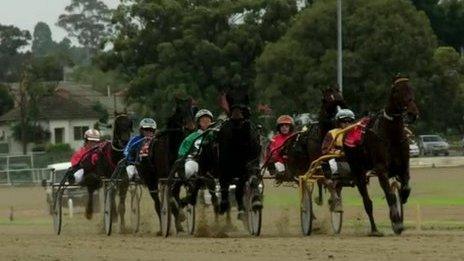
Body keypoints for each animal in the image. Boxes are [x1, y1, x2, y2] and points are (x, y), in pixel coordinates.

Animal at [137, 96, 197, 234]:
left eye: (192, 109)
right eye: (179, 110)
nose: (190, 127)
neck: (173, 149)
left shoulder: (180, 176)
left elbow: (179, 193)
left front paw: (181, 215)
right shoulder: (166, 177)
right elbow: (170, 199)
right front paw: (180, 216)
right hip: (151, 180)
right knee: (157, 203)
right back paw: (163, 228)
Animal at [342, 76, 418, 235]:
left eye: (411, 89)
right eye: (396, 91)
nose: (412, 113)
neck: (392, 136)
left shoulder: (403, 166)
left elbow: (405, 188)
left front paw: (402, 200)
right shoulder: (381, 169)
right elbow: (390, 195)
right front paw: (396, 222)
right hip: (358, 172)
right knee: (367, 201)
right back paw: (375, 229)